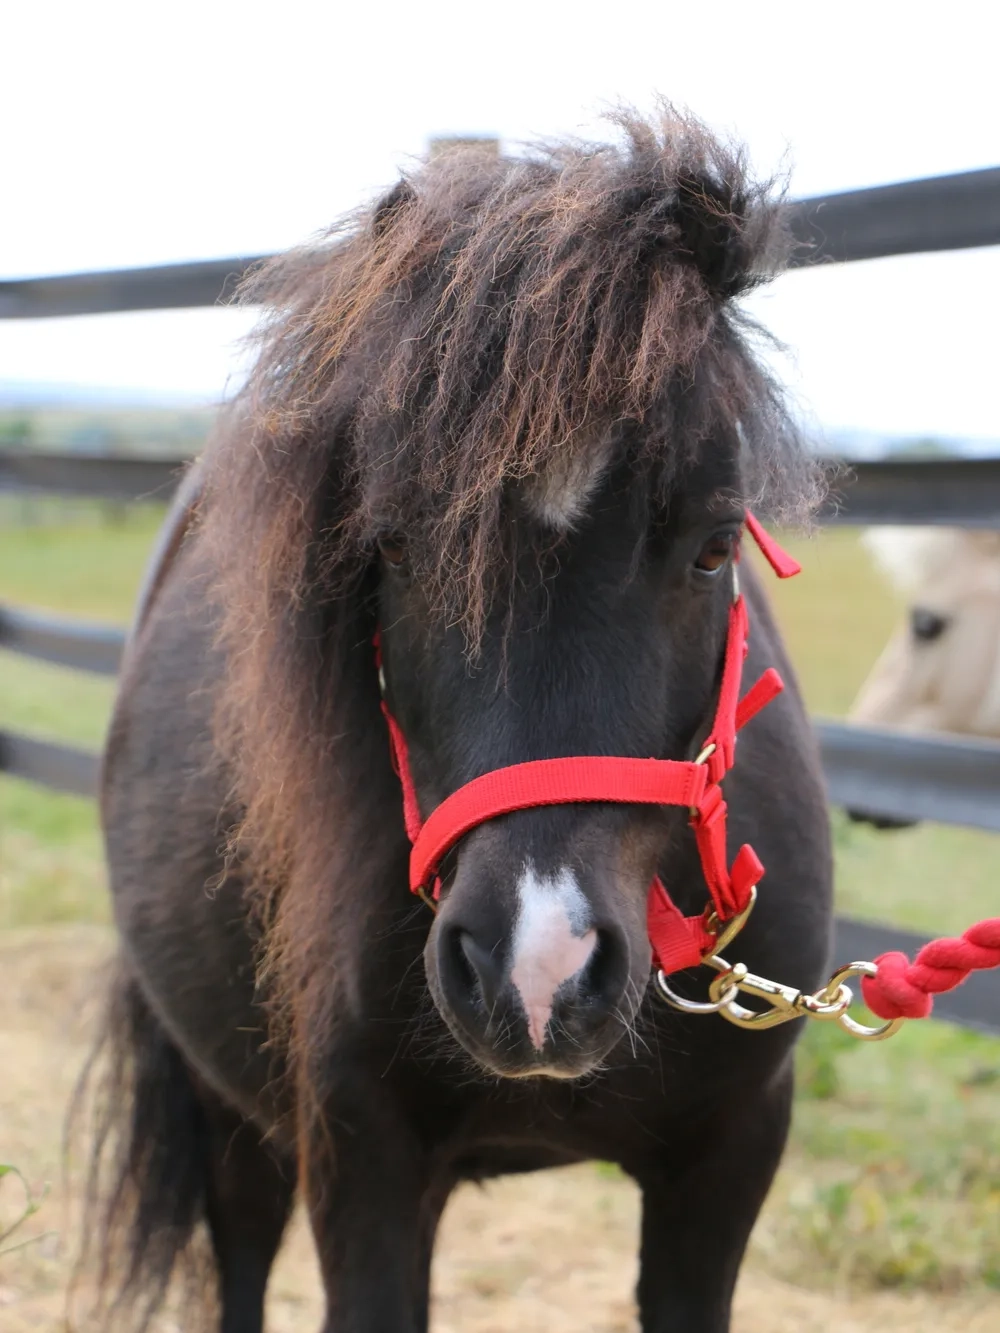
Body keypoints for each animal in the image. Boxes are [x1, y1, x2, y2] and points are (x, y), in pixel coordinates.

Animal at [82, 107, 832, 1333]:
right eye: (389, 544)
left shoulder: (728, 1157)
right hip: (231, 1114)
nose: (539, 971)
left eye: (716, 542)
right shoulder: (363, 1164)